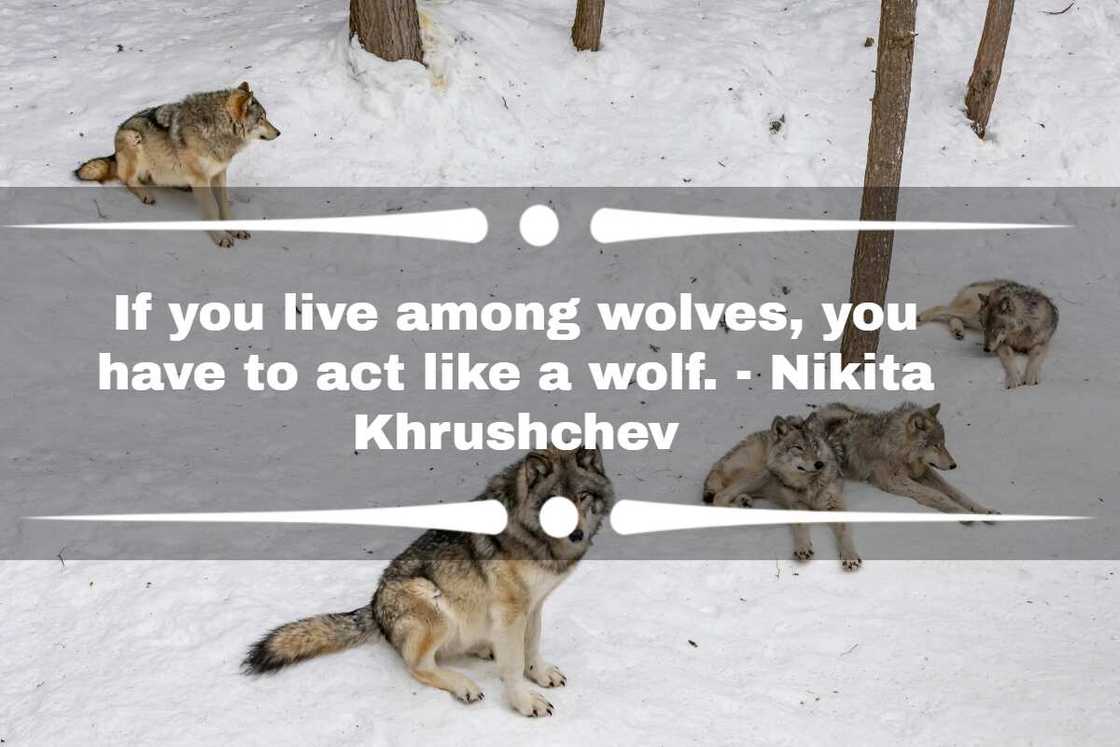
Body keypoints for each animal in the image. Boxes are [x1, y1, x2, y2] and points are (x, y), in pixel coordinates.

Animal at [75, 82, 280, 247]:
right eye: (262, 118)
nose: (279, 132)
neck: (217, 131)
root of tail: (115, 149)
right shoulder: (200, 179)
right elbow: (212, 210)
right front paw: (220, 236)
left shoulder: (219, 173)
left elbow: (225, 208)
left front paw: (235, 229)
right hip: (134, 137)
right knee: (129, 180)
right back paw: (146, 194)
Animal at [242, 446, 613, 718]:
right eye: (553, 504)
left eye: (582, 496)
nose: (576, 534)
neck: (534, 538)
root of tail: (373, 608)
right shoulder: (512, 611)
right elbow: (512, 665)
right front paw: (524, 702)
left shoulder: (533, 606)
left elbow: (531, 648)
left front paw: (540, 673)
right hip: (430, 599)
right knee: (417, 666)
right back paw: (464, 684)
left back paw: (484, 648)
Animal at [702, 414, 861, 570]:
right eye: (798, 447)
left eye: (814, 445)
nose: (819, 464)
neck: (808, 484)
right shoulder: (796, 505)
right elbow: (800, 527)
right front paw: (802, 548)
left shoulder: (835, 504)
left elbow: (844, 532)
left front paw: (850, 556)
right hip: (762, 473)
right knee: (719, 497)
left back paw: (744, 501)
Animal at [814, 402, 997, 517]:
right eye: (936, 445)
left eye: (944, 444)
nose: (954, 465)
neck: (898, 450)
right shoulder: (894, 481)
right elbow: (937, 494)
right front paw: (963, 514)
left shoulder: (923, 472)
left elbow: (955, 492)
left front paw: (983, 510)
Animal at [919, 280, 1058, 388]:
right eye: (985, 327)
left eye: (996, 329)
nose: (986, 350)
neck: (1020, 332)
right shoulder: (1002, 345)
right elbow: (1009, 359)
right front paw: (1014, 379)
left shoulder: (1042, 344)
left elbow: (1035, 359)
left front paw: (1031, 376)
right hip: (973, 315)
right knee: (942, 308)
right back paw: (920, 318)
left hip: (972, 319)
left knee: (951, 317)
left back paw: (958, 331)